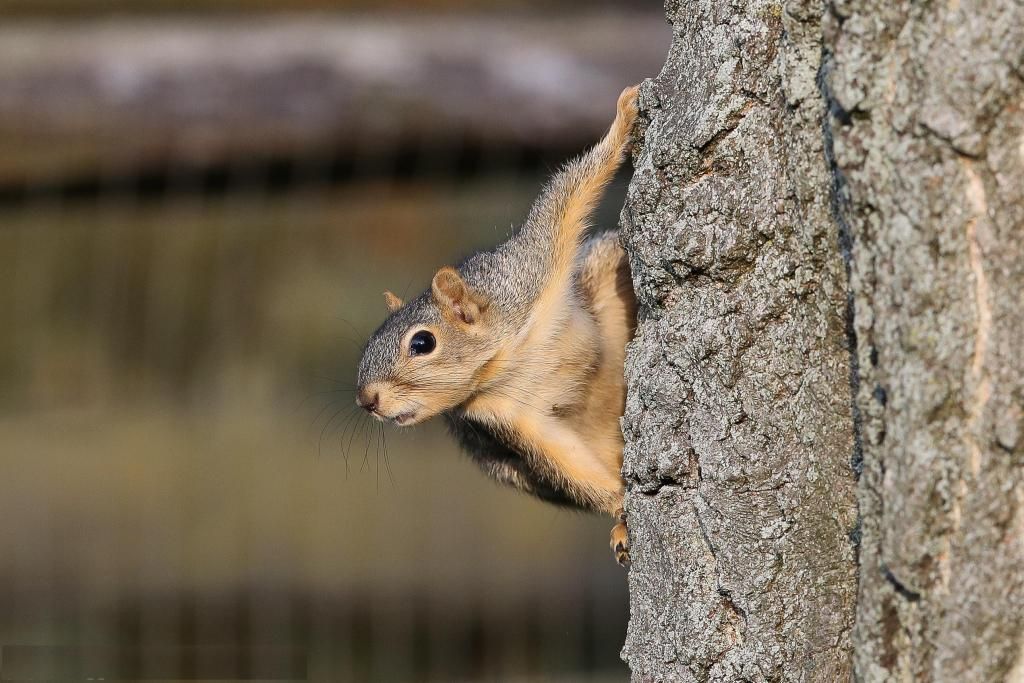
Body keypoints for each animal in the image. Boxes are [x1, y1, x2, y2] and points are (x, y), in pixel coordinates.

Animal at [355, 86, 639, 566]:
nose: (366, 400)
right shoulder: (508, 417)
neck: (507, 357)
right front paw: (622, 506)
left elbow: (569, 191)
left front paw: (625, 115)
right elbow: (561, 460)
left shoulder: (532, 268)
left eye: (422, 343)